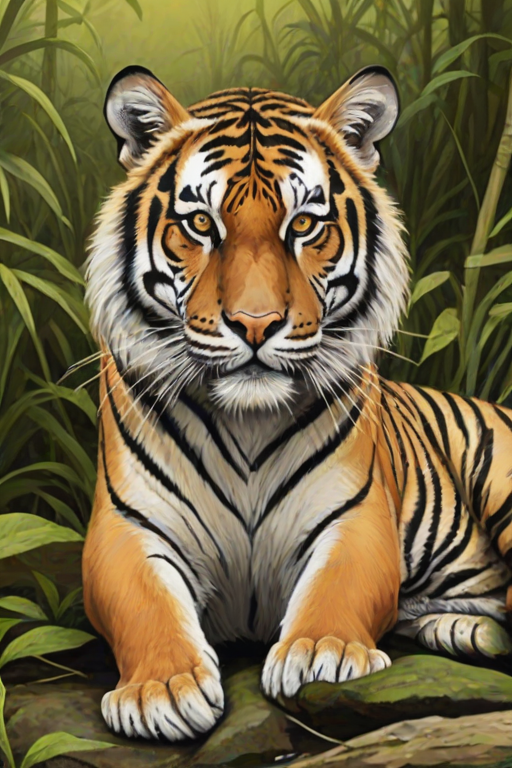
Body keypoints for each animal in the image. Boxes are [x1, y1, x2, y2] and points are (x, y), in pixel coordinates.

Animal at [83, 64, 512, 743]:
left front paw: (321, 652)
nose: (256, 325)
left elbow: (338, 585)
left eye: (304, 225)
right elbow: (143, 601)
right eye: (201, 225)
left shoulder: (356, 515)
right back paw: (462, 628)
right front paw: (161, 689)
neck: (247, 422)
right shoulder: (126, 524)